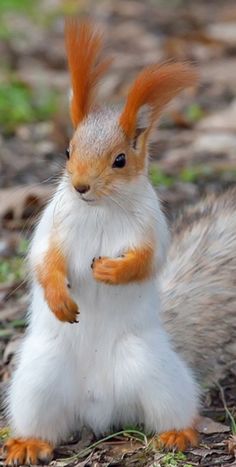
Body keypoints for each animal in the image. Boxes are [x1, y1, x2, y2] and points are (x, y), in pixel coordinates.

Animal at [3, 19, 201, 467]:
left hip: (156, 372)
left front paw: (113, 269)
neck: (100, 209)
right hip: (37, 379)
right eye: (67, 150)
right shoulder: (53, 226)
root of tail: (98, 407)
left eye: (120, 160)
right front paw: (59, 297)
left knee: (172, 408)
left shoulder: (151, 227)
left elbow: (147, 259)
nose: (80, 187)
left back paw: (178, 433)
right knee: (40, 419)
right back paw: (28, 443)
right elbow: (45, 261)